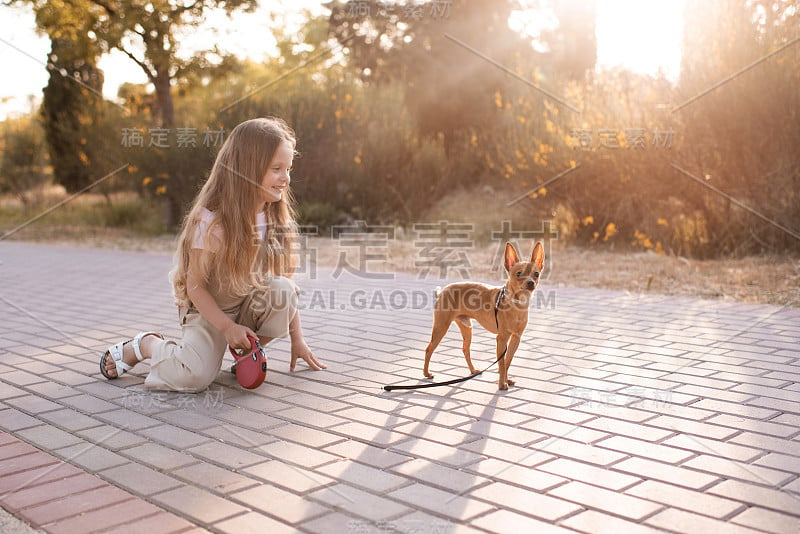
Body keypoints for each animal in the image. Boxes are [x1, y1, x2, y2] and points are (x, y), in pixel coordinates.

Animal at [424, 242, 544, 390]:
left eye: (536, 274)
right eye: (519, 274)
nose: (531, 282)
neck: (517, 304)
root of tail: (441, 292)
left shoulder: (516, 338)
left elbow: (507, 361)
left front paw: (506, 380)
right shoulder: (502, 339)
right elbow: (502, 364)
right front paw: (501, 384)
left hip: (467, 328)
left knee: (465, 349)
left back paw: (473, 370)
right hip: (441, 328)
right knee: (429, 349)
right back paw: (426, 373)